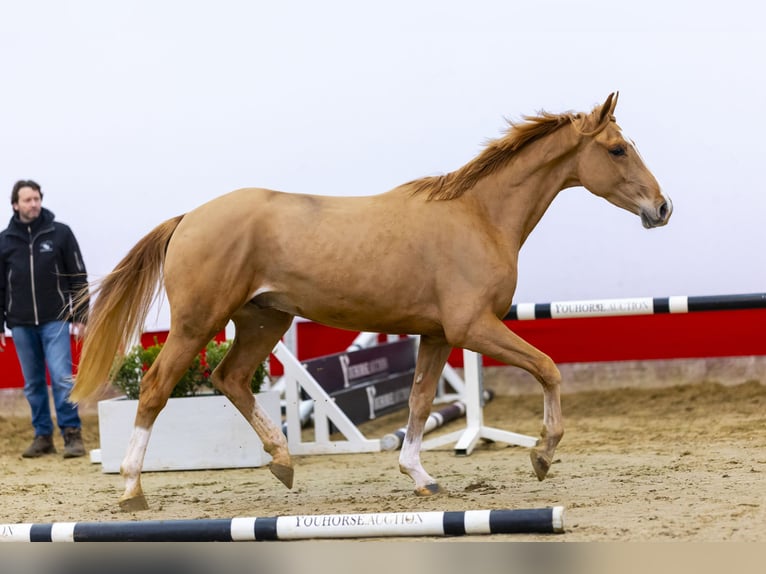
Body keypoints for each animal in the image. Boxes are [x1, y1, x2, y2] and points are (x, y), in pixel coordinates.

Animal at [72, 94, 672, 512]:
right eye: (617, 148)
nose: (662, 207)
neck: (480, 215)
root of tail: (188, 217)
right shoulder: (473, 328)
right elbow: (548, 368)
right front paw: (543, 454)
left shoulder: (437, 335)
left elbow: (419, 401)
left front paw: (421, 477)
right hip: (198, 323)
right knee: (156, 389)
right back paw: (131, 489)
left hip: (265, 320)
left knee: (231, 378)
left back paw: (283, 462)